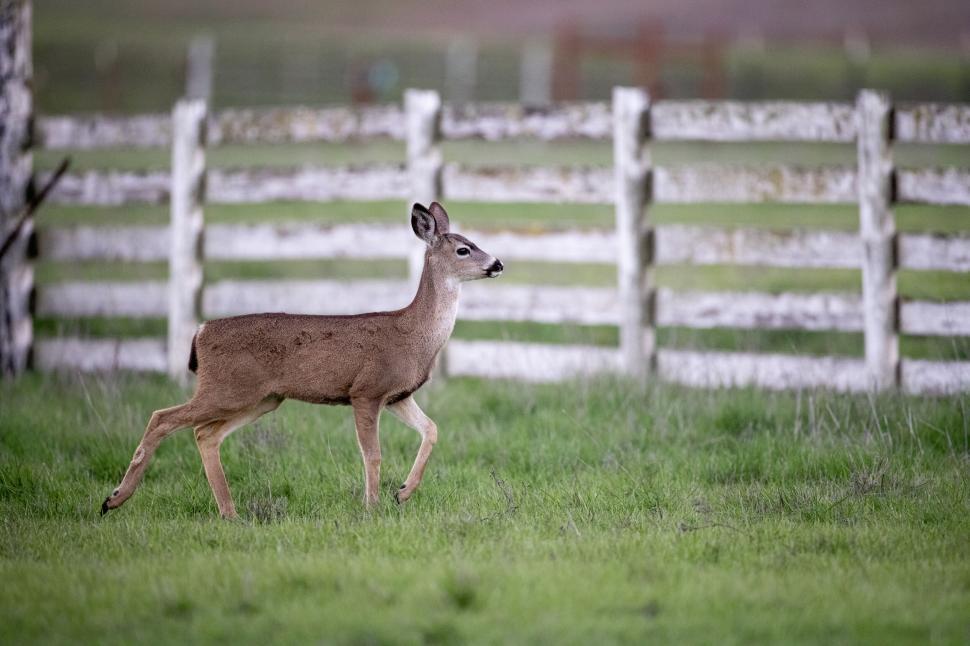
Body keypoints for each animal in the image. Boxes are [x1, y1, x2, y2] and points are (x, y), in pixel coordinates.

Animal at [100, 202, 503, 518]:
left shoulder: (397, 395)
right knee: (163, 417)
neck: (414, 334)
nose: (498, 263)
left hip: (263, 397)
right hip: (228, 387)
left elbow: (431, 429)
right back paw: (114, 499)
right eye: (464, 249)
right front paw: (372, 506)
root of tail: (200, 331)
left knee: (205, 433)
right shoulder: (366, 389)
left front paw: (402, 492)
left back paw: (229, 512)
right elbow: (372, 454)